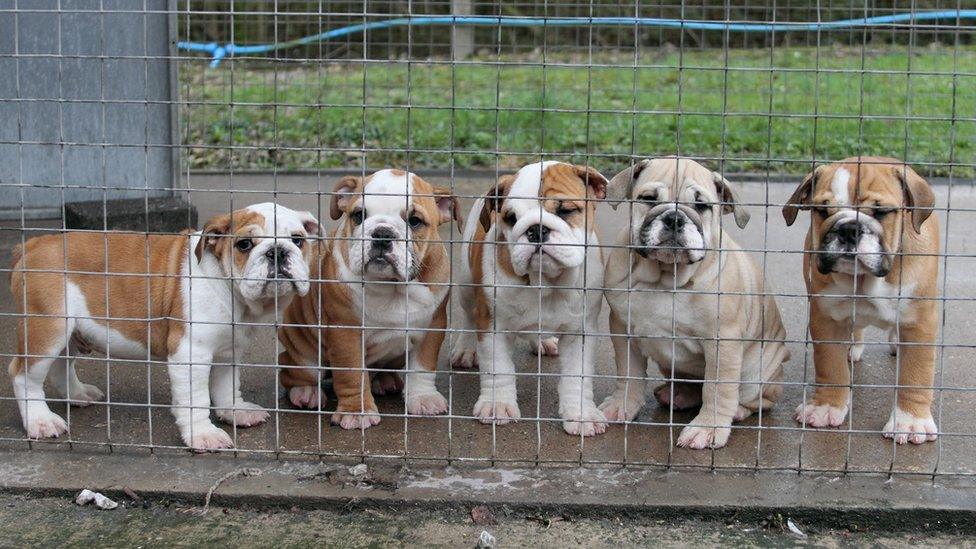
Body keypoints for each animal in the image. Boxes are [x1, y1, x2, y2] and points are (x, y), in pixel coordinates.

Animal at [8, 202, 320, 450]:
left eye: (298, 240)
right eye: (244, 244)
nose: (278, 251)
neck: (230, 290)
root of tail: (31, 245)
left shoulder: (228, 351)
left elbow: (226, 386)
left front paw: (235, 411)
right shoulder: (191, 353)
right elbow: (196, 398)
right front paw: (203, 434)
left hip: (71, 331)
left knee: (61, 366)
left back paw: (77, 394)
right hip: (47, 328)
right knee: (24, 376)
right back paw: (40, 420)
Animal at [274, 167, 458, 428]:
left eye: (414, 221)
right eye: (359, 215)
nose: (382, 232)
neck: (392, 287)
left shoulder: (433, 326)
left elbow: (424, 364)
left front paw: (424, 398)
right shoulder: (346, 332)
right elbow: (352, 373)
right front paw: (356, 412)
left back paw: (385, 381)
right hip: (305, 356)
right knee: (292, 371)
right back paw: (306, 392)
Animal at [450, 161, 608, 434]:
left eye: (566, 211)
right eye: (511, 218)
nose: (536, 229)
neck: (545, 282)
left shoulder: (580, 332)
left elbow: (577, 375)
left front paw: (581, 414)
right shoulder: (492, 325)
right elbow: (498, 368)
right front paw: (498, 405)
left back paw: (543, 342)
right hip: (466, 285)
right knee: (469, 317)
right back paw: (465, 350)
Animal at [600, 156, 788, 448]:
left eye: (701, 206)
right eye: (648, 199)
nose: (675, 218)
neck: (666, 277)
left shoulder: (723, 342)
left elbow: (717, 387)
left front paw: (708, 427)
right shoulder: (622, 330)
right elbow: (629, 372)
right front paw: (622, 405)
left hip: (758, 371)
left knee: (757, 399)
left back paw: (737, 410)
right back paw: (678, 394)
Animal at [784, 156, 936, 444]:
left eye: (882, 212)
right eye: (823, 211)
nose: (849, 229)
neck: (864, 280)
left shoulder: (919, 323)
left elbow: (916, 373)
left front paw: (910, 421)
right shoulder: (826, 317)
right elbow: (830, 366)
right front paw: (826, 406)